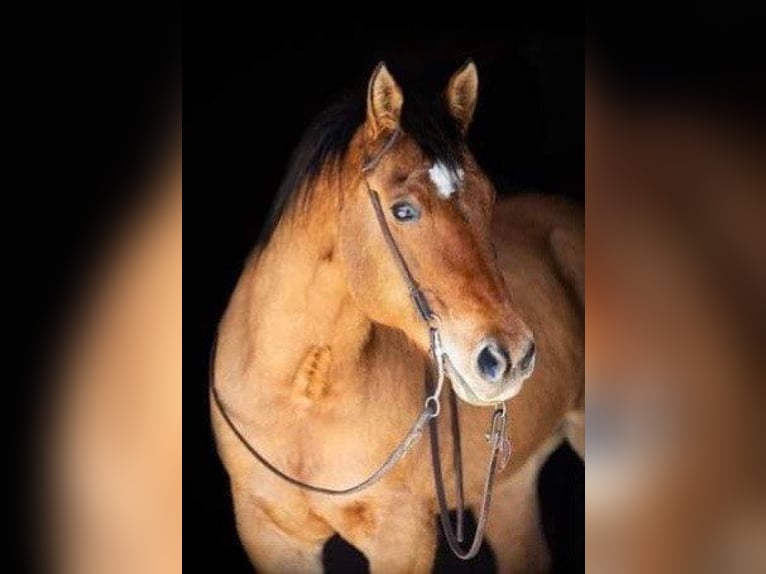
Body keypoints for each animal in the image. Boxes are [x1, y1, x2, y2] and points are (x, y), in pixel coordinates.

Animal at [213, 60, 584, 572]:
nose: (510, 357)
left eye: (488, 197)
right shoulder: (269, 536)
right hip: (508, 488)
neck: (300, 400)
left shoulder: (402, 536)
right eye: (402, 210)